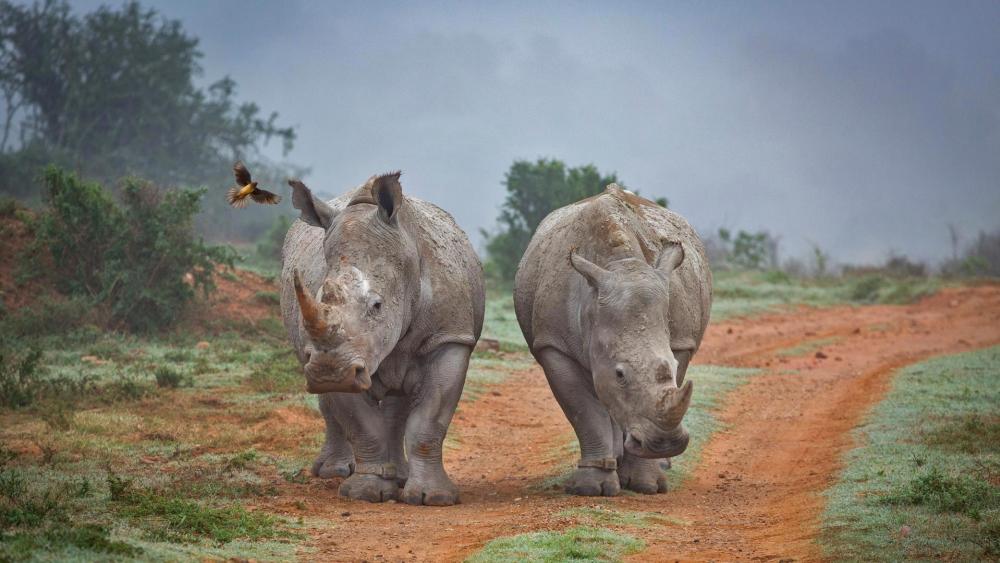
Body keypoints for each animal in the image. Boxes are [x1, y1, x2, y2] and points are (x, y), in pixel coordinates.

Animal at [280, 172, 484, 505]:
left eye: (377, 306)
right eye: (321, 298)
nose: (329, 372)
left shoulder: (449, 338)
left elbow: (429, 420)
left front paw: (432, 498)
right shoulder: (341, 358)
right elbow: (361, 425)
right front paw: (365, 493)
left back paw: (399, 476)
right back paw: (334, 472)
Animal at [513, 184, 712, 496]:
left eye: (670, 364)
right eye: (619, 374)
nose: (665, 443)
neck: (622, 264)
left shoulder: (681, 341)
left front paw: (647, 484)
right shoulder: (554, 344)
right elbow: (584, 411)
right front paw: (590, 488)